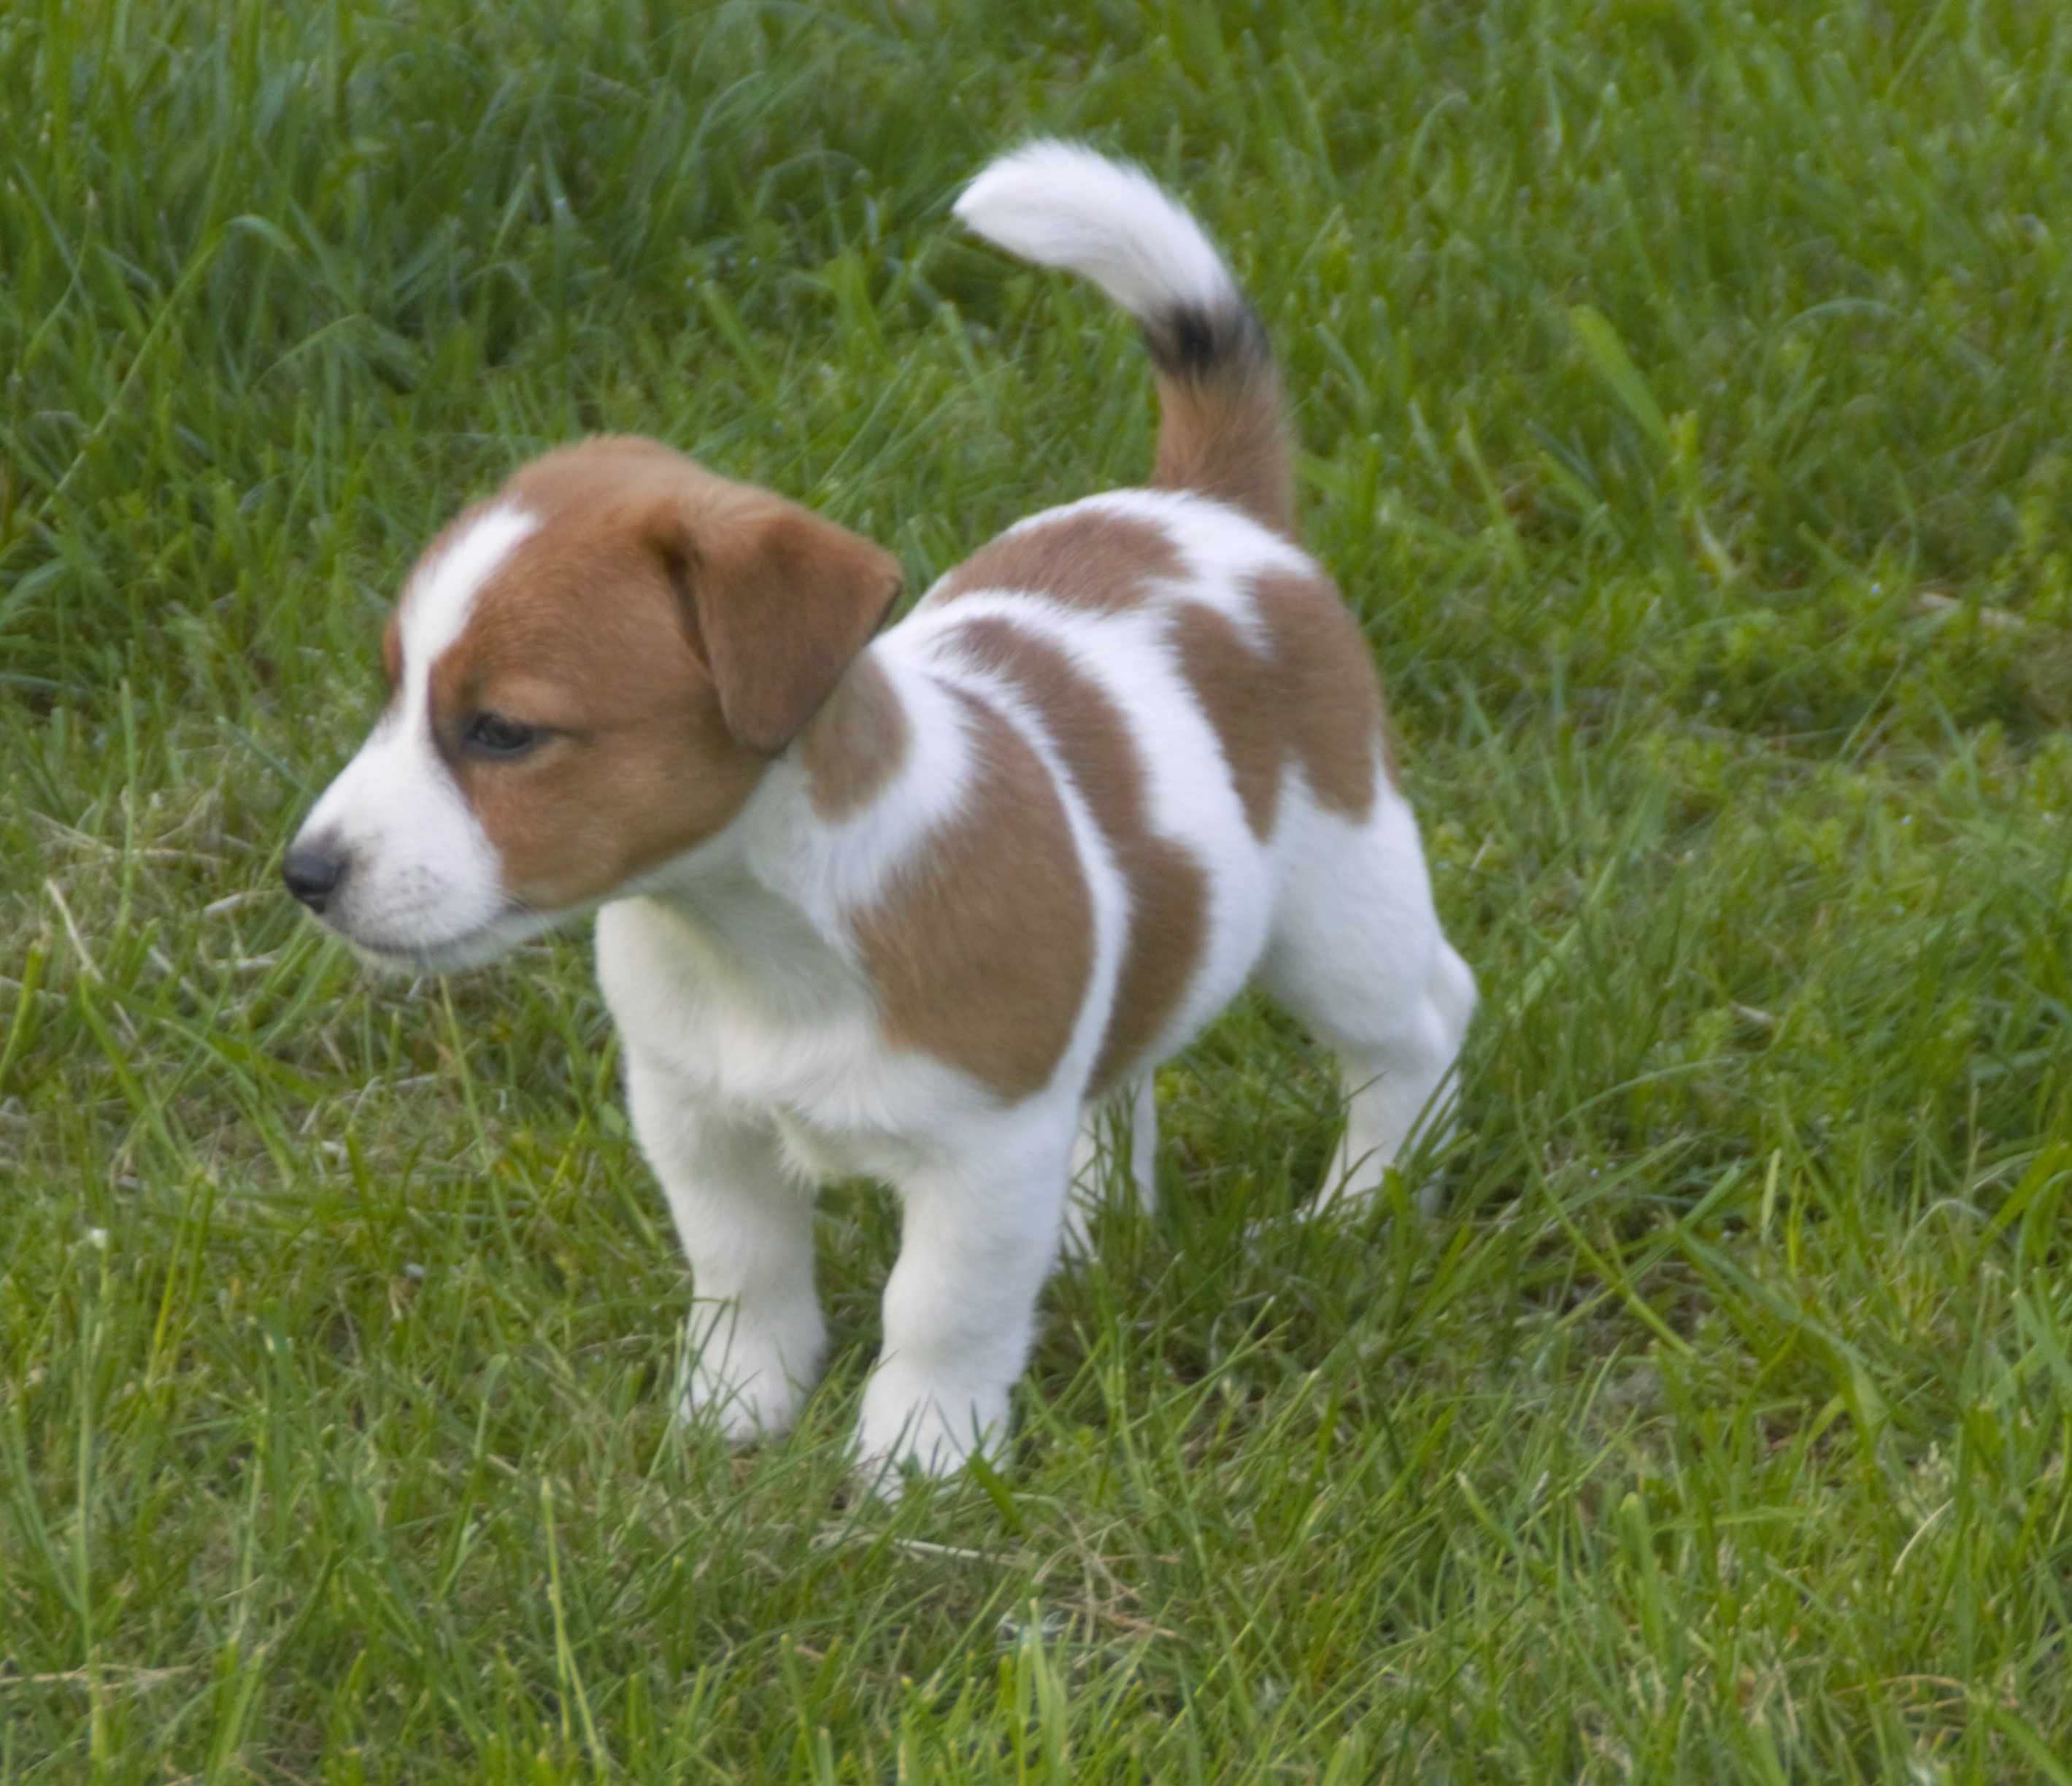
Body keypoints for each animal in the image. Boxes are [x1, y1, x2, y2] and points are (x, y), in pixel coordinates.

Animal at [288, 136, 1475, 1483]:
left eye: (501, 731)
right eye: (393, 688)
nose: (305, 873)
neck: (763, 934)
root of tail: (1211, 511)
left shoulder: (981, 1150)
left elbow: (938, 1306)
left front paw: (921, 1454)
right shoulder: (695, 1117)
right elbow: (740, 1270)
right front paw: (734, 1404)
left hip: (1337, 908)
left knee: (1419, 1023)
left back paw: (1361, 1205)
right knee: (1128, 1062)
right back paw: (1095, 1226)